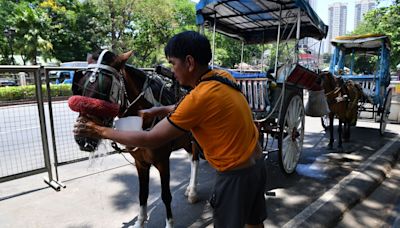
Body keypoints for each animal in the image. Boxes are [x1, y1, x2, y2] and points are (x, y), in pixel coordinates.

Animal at [71, 50, 200, 228]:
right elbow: (142, 194)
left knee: (195, 159)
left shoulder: (162, 161)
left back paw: (193, 191)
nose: (82, 139)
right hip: (185, 140)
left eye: (106, 90)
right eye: (80, 87)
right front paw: (140, 222)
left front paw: (169, 223)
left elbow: (166, 195)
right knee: (191, 156)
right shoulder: (140, 162)